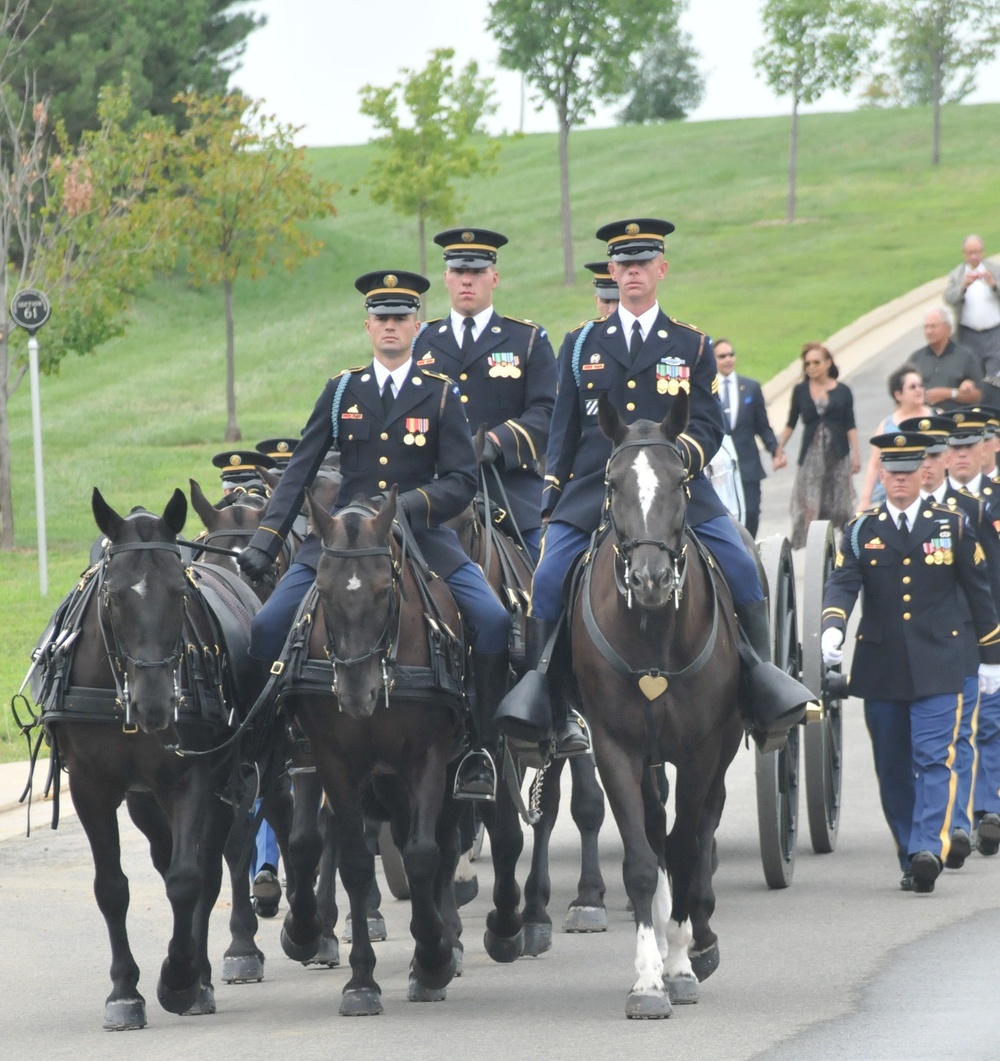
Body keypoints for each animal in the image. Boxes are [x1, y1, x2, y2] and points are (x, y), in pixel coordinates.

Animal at [37, 492, 268, 1031]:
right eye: (115, 595)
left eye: (179, 593)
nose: (156, 704)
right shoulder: (91, 787)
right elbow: (111, 887)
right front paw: (124, 991)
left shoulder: (193, 777)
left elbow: (187, 880)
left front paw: (180, 978)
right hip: (145, 799)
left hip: (227, 778)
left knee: (214, 863)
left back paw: (206, 970)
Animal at [572, 396, 742, 1018]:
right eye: (612, 482)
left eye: (681, 480)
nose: (650, 579)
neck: (652, 637)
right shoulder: (615, 747)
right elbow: (645, 862)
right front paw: (648, 979)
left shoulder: (700, 750)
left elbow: (689, 847)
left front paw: (682, 963)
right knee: (657, 829)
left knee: (702, 827)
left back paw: (700, 940)